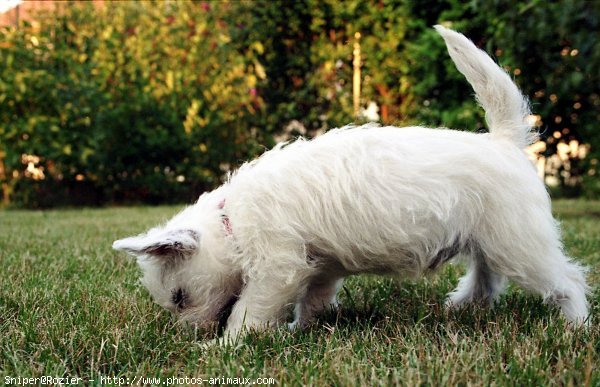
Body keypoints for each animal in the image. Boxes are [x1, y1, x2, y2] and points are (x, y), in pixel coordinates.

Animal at [113, 25, 592, 340]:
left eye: (179, 297)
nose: (187, 335)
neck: (232, 220)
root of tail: (504, 142)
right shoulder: (319, 268)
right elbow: (312, 301)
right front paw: (298, 330)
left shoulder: (277, 267)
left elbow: (249, 310)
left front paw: (227, 345)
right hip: (488, 239)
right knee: (487, 279)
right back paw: (462, 307)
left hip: (519, 243)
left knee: (566, 279)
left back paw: (575, 328)